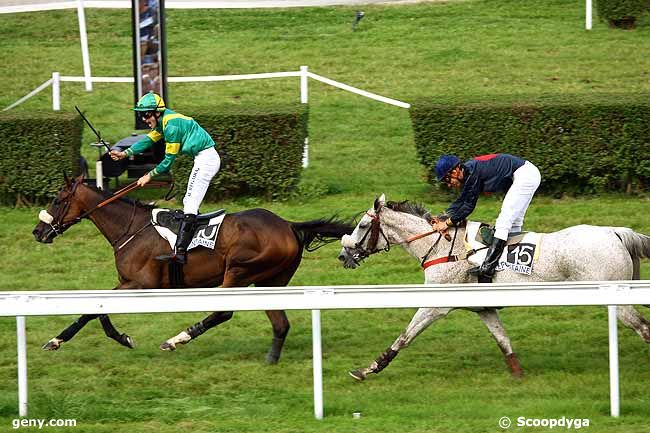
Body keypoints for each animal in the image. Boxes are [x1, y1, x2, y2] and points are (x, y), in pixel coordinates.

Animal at [33, 174, 352, 362]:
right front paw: (59, 340)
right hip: (269, 282)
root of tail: (289, 225)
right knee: (280, 323)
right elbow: (93, 309)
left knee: (223, 312)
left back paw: (177, 339)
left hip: (238, 272)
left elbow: (96, 309)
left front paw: (119, 338)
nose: (38, 232)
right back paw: (271, 360)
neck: (131, 228)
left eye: (57, 200)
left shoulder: (142, 284)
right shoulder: (126, 282)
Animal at [336, 194, 648, 380]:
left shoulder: (436, 304)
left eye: (362, 226)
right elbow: (503, 341)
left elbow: (404, 336)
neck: (441, 247)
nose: (343, 254)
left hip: (617, 299)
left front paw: (368, 369)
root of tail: (615, 232)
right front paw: (519, 375)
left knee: (643, 328)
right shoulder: (484, 307)